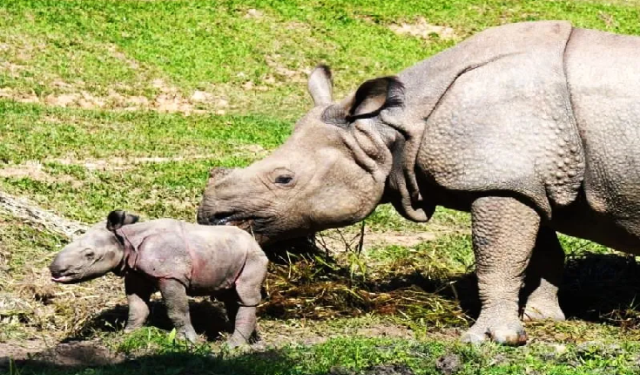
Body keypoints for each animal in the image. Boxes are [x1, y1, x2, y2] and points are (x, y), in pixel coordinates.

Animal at [48, 210, 268, 348]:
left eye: (89, 254)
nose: (55, 271)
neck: (125, 239)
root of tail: (254, 241)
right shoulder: (135, 273)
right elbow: (137, 306)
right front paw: (128, 334)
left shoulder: (170, 276)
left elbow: (176, 310)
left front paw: (189, 341)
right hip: (230, 253)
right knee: (232, 298)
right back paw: (254, 342)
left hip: (254, 257)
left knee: (245, 295)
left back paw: (232, 347)